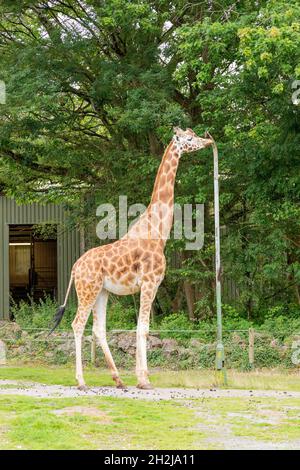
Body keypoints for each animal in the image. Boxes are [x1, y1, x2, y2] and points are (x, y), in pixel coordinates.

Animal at [49, 127, 213, 390]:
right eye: (189, 138)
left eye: (195, 134)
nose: (207, 141)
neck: (158, 232)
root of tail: (74, 267)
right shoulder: (150, 282)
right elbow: (143, 328)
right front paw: (144, 380)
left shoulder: (147, 285)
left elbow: (140, 327)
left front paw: (139, 378)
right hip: (87, 290)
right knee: (77, 324)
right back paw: (81, 381)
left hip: (101, 292)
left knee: (98, 329)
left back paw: (118, 379)